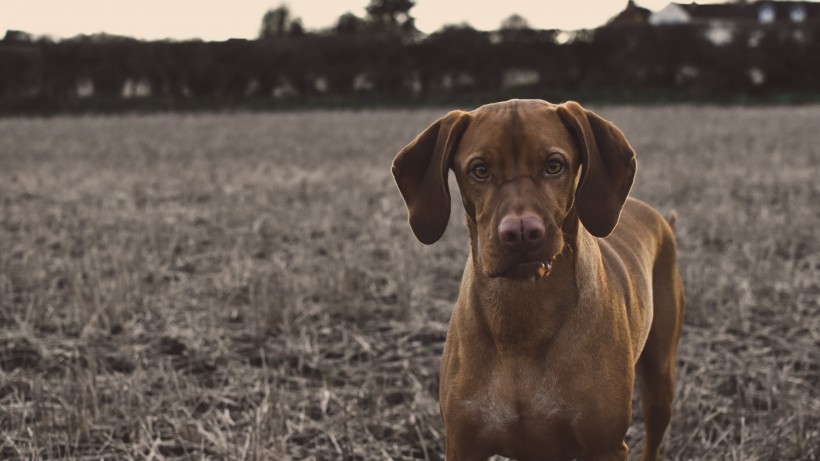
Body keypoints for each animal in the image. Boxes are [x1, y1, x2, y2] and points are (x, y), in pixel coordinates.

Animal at [392, 100, 684, 460]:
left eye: (554, 165)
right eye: (480, 170)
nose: (521, 232)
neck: (522, 318)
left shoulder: (606, 446)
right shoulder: (462, 444)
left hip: (659, 381)